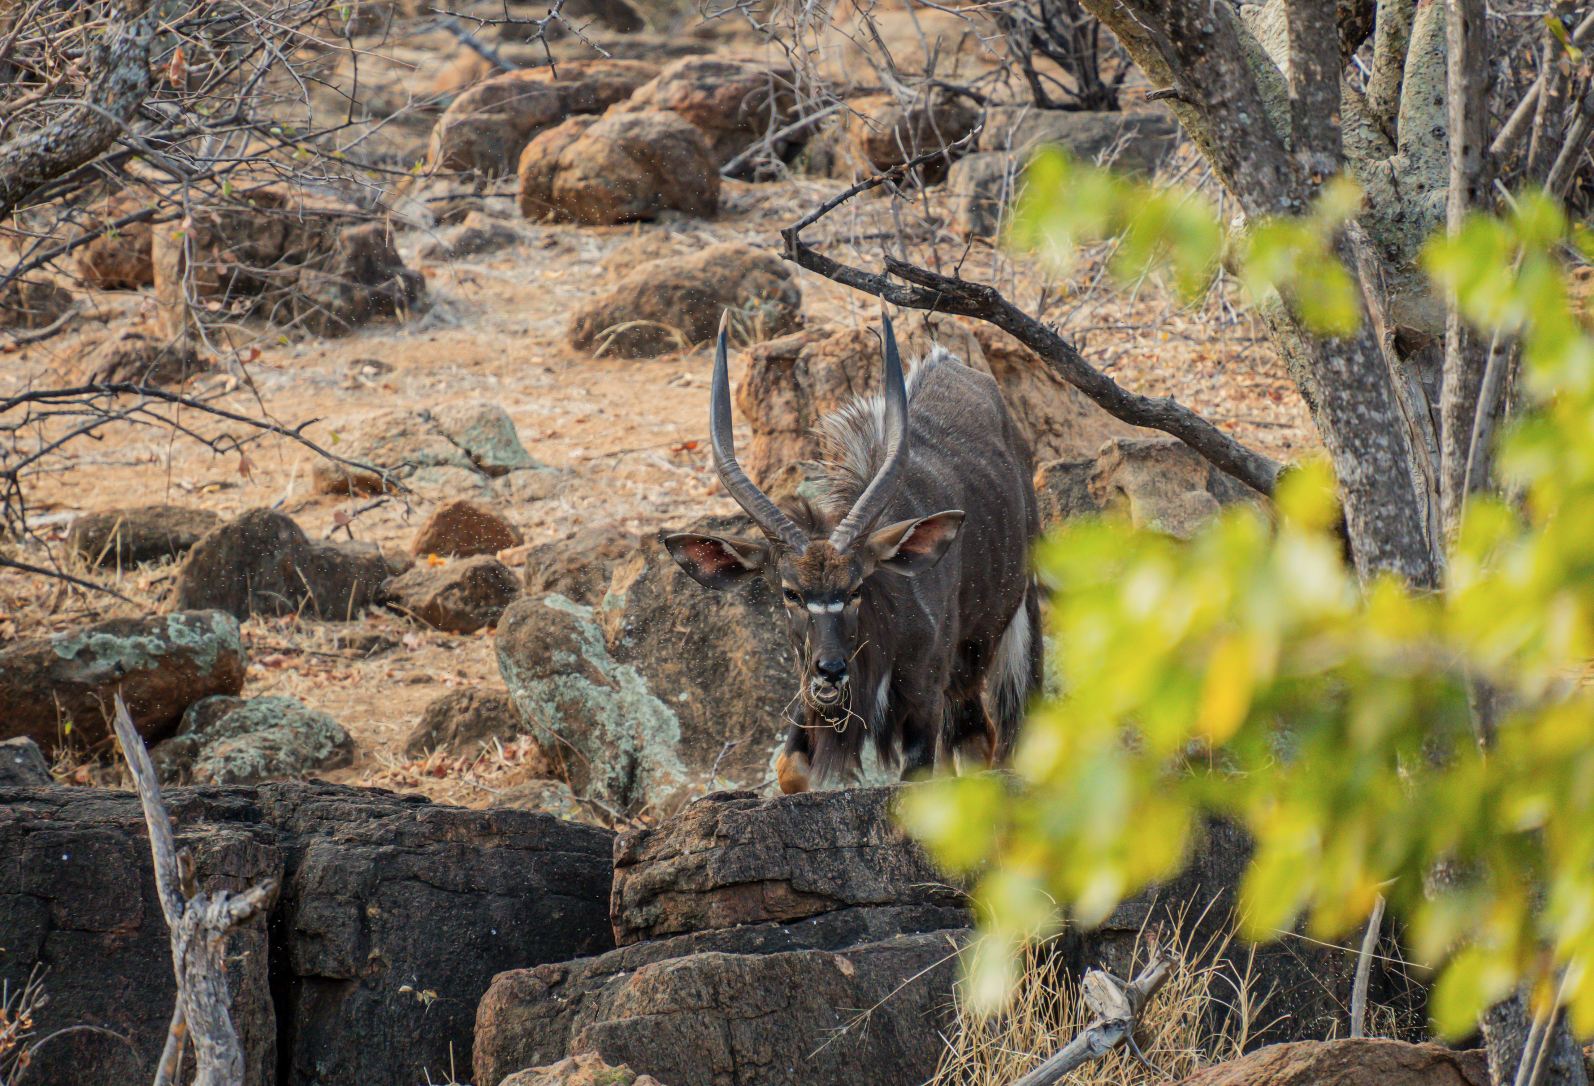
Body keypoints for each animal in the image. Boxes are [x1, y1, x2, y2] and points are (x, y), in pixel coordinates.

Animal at [665, 309, 1043, 793]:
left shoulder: (924, 699)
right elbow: (789, 768)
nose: (831, 669)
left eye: (857, 589)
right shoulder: (809, 700)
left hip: (997, 636)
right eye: (789, 592)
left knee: (985, 737)